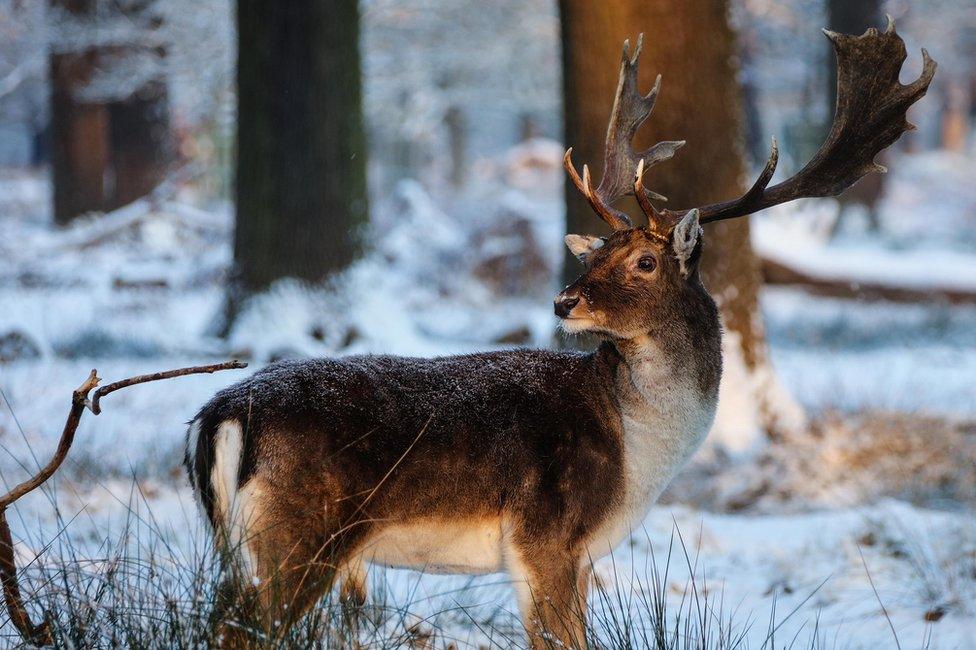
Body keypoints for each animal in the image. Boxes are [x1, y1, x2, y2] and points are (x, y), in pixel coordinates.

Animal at [181, 20, 932, 648]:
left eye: (643, 260)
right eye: (595, 254)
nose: (564, 300)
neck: (638, 459)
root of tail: (221, 413)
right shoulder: (548, 535)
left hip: (242, 541)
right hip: (303, 532)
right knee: (243, 630)